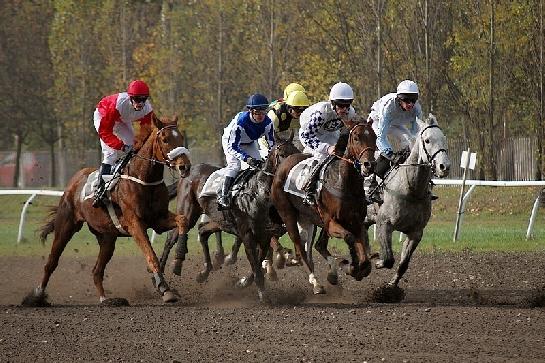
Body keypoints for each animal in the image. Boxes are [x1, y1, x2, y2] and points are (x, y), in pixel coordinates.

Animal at [21, 114, 191, 308]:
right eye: (165, 139)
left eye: (181, 137)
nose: (185, 166)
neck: (144, 180)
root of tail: (74, 182)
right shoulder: (135, 224)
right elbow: (151, 255)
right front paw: (165, 290)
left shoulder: (158, 219)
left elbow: (183, 220)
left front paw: (178, 259)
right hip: (66, 225)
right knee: (51, 263)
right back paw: (37, 296)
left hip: (107, 237)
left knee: (97, 270)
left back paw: (106, 299)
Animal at [270, 121, 376, 294]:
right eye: (356, 137)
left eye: (374, 136)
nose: (369, 165)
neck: (344, 182)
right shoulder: (330, 222)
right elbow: (349, 237)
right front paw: (350, 266)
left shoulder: (357, 221)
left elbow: (364, 253)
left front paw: (359, 268)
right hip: (288, 215)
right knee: (300, 248)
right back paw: (316, 283)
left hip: (309, 219)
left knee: (312, 247)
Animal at [364, 114, 448, 288]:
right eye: (427, 140)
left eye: (444, 139)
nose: (444, 166)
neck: (411, 190)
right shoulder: (384, 223)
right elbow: (388, 258)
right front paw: (379, 262)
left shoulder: (416, 232)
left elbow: (403, 264)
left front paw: (392, 285)